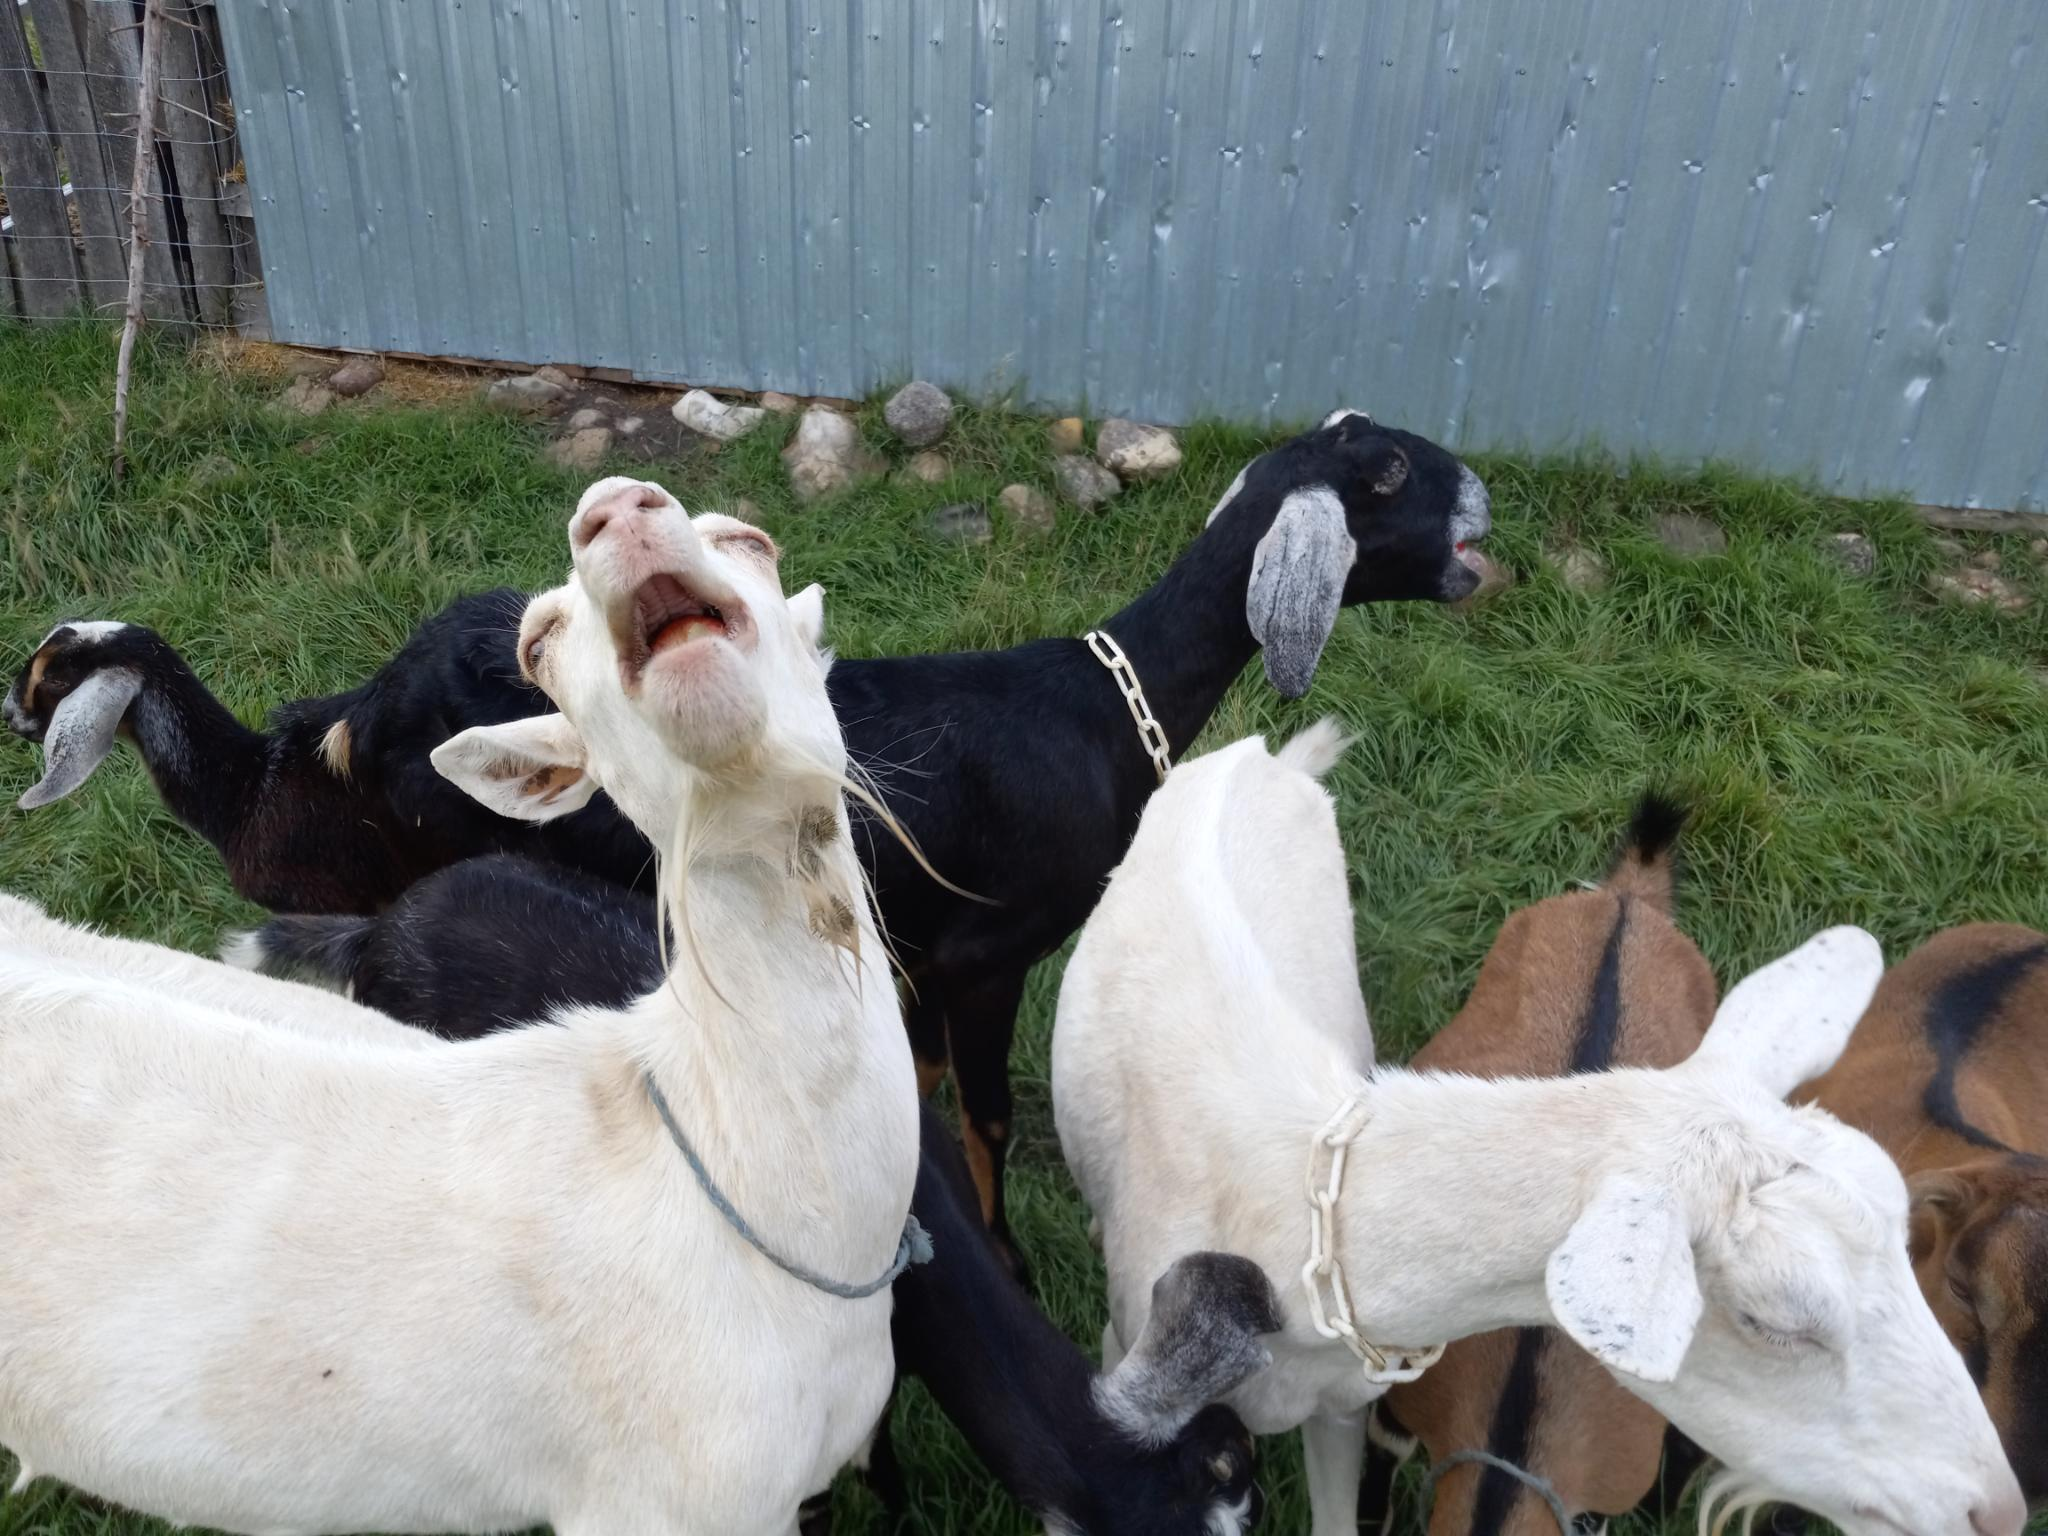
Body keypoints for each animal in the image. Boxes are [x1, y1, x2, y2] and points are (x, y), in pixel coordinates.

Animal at [9, 409, 1493, 1267]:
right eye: (1388, 472)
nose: (1486, 522)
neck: (1094, 704)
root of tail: (345, 726)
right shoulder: (986, 956)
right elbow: (989, 1121)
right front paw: (1007, 1261)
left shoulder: (913, 960)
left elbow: (936, 1094)